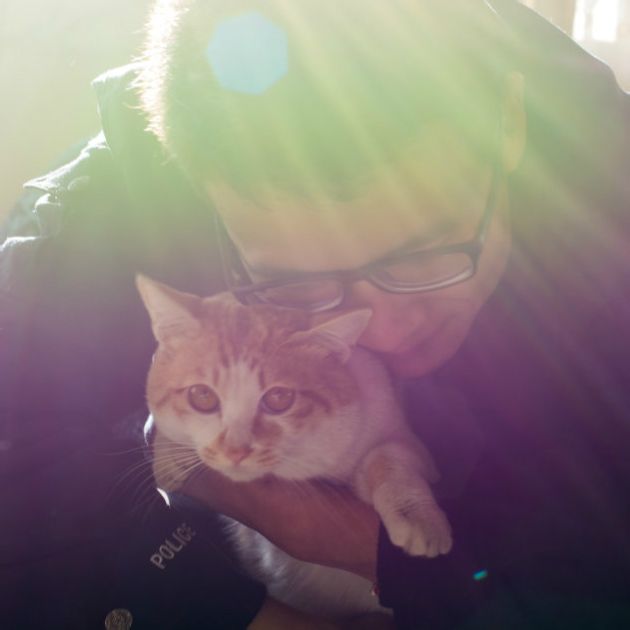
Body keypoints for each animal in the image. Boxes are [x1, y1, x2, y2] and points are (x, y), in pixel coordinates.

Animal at [136, 274, 452, 619]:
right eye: (202, 396)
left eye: (279, 399)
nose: (236, 450)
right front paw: (167, 459)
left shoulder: (408, 443)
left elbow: (388, 456)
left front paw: (418, 517)